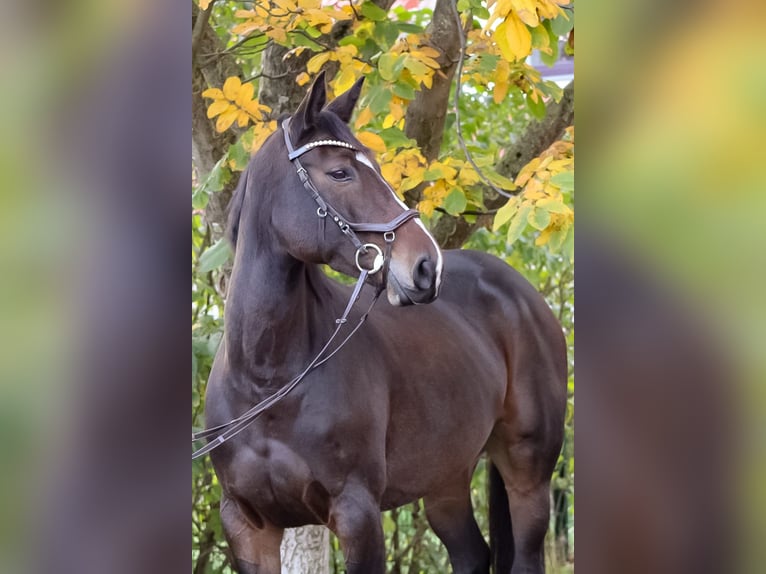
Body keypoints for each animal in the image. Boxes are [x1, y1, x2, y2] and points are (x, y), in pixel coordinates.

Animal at [202, 71, 567, 574]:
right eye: (340, 172)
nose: (426, 266)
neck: (266, 379)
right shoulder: (246, 525)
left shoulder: (357, 513)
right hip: (446, 477)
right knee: (471, 554)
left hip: (528, 474)